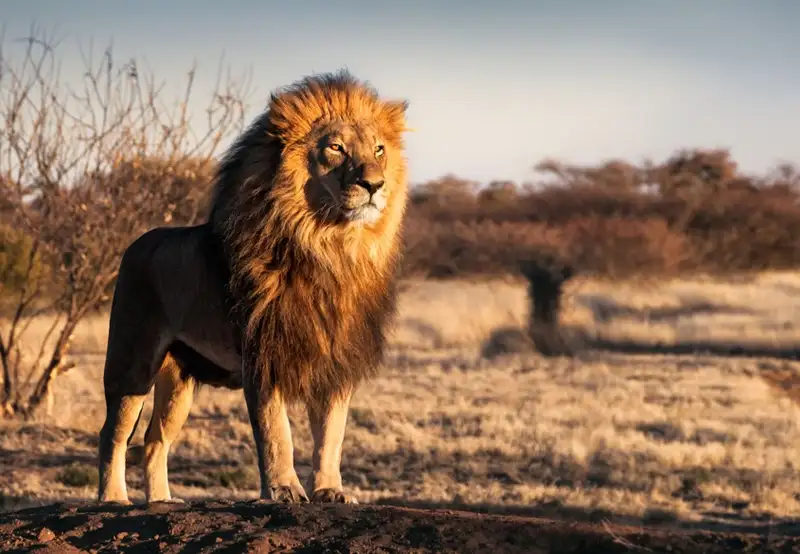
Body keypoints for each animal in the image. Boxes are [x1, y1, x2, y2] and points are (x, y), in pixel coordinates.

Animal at [96, 70, 411, 505]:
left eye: (379, 149)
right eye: (335, 147)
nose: (374, 184)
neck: (330, 248)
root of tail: (136, 243)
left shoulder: (335, 359)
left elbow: (332, 434)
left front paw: (330, 490)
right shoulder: (263, 354)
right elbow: (277, 432)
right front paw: (284, 490)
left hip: (179, 381)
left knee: (155, 440)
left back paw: (161, 501)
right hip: (133, 362)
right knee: (113, 434)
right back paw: (113, 498)